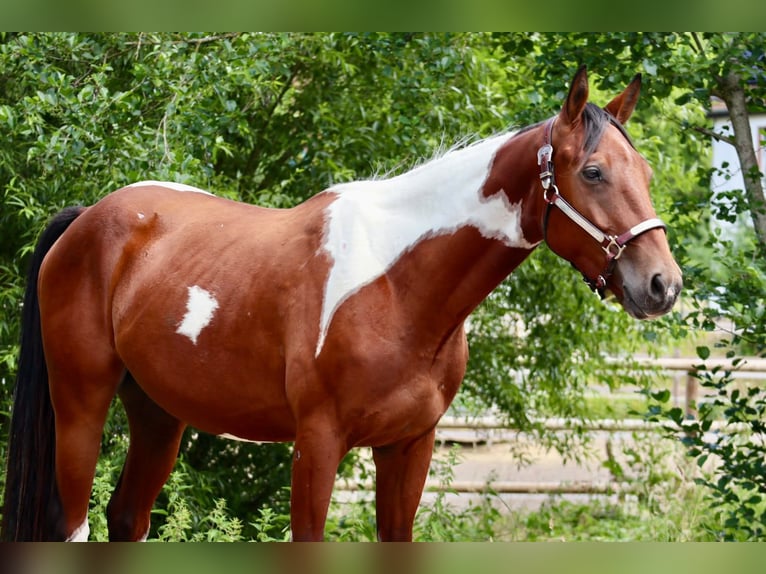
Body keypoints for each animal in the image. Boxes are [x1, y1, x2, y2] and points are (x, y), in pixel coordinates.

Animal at [1, 66, 682, 542]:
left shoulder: (410, 447)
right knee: (75, 522)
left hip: (157, 415)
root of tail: (89, 218)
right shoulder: (318, 445)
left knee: (127, 519)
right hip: (81, 405)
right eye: (592, 172)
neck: (396, 285)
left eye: (645, 171)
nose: (662, 285)